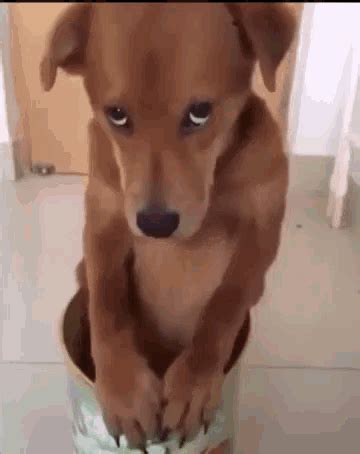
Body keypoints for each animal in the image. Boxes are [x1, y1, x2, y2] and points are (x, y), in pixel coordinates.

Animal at [41, 2, 296, 450]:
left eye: (200, 112)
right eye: (117, 115)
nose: (156, 223)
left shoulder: (262, 230)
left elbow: (225, 303)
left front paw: (194, 383)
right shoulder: (104, 218)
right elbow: (107, 301)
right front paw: (123, 389)